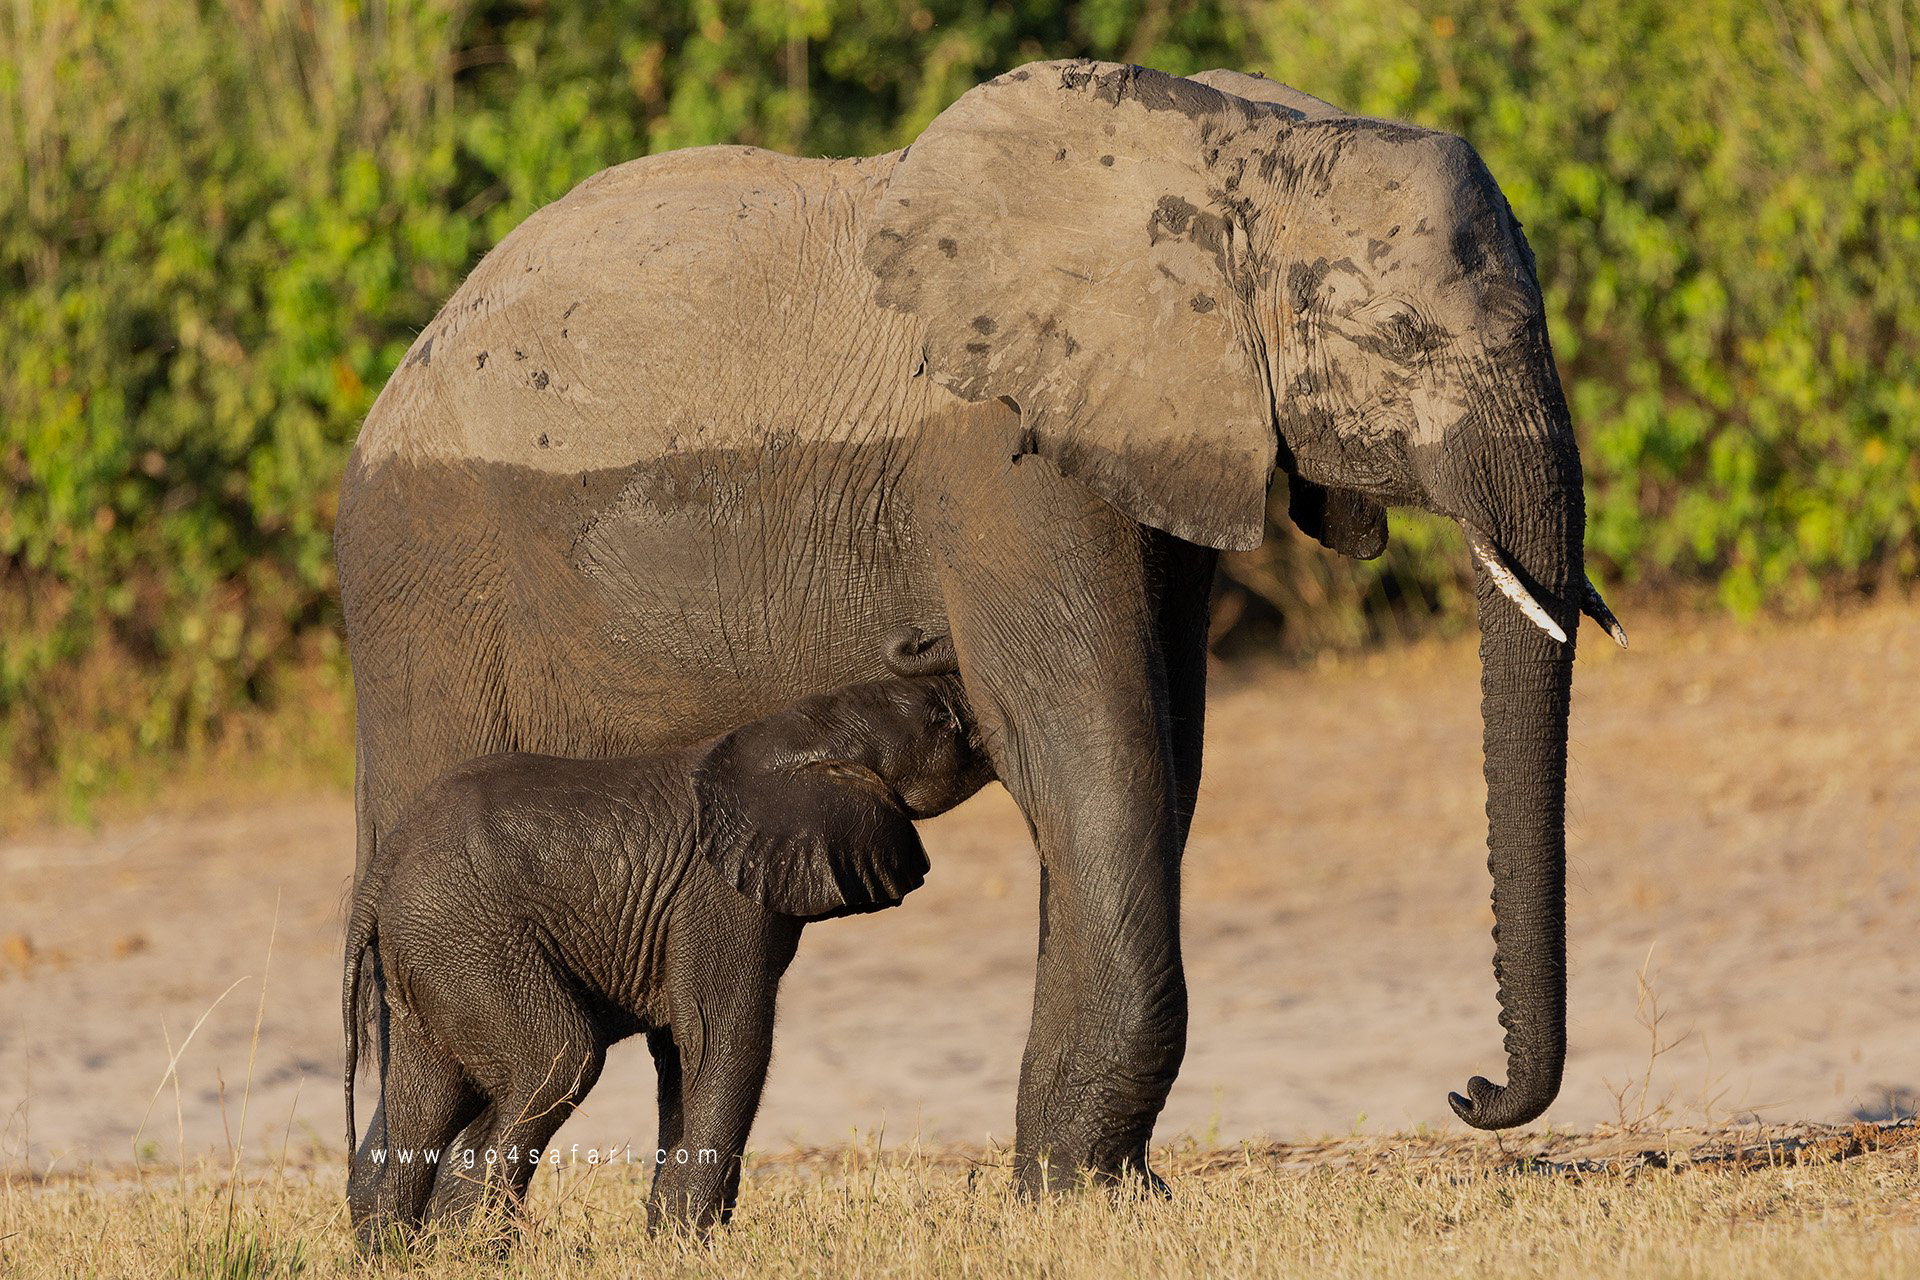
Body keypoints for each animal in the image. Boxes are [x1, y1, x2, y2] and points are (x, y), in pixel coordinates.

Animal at [339, 637, 990, 1243]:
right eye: (944, 722)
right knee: (556, 1061)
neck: (789, 734)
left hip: (429, 957)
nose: (922, 642)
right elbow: (723, 1038)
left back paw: (403, 1252)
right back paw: (472, 1248)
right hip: (471, 941)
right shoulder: (715, 895)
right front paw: (689, 1242)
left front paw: (672, 1240)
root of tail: (378, 875)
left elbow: (681, 1052)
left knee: (426, 1098)